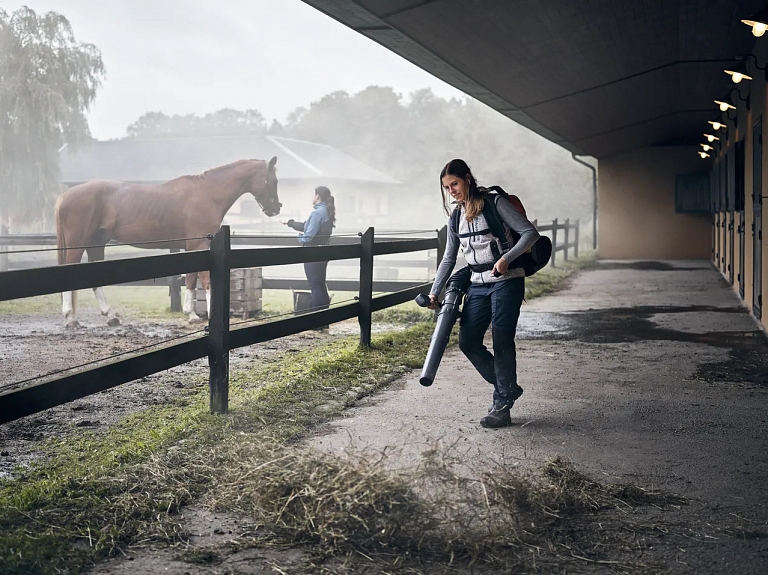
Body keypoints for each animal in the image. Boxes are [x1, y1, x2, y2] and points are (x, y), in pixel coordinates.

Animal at [54, 158, 282, 326]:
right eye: (274, 181)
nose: (276, 208)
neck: (208, 194)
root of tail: (65, 195)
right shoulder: (199, 245)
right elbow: (205, 279)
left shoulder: (193, 247)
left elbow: (191, 279)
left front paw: (191, 314)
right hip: (78, 244)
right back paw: (70, 318)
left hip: (96, 243)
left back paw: (110, 316)